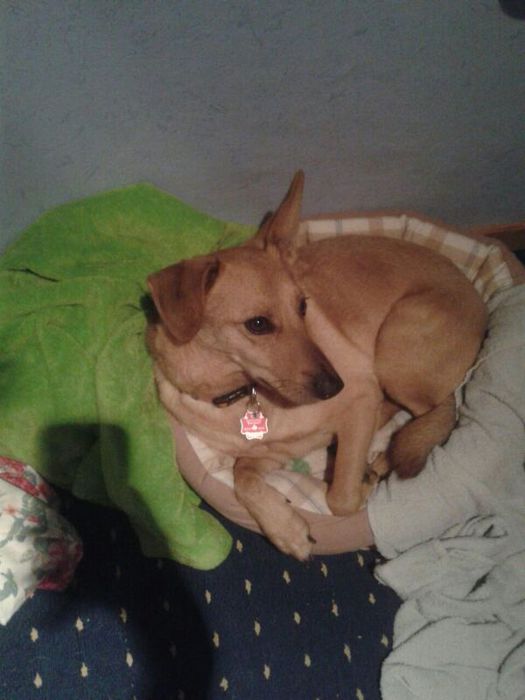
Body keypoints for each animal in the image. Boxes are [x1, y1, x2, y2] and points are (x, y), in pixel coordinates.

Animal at [146, 172, 487, 560]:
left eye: (303, 306)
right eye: (258, 324)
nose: (334, 387)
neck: (242, 392)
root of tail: (478, 301)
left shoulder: (360, 397)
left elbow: (340, 499)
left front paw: (360, 483)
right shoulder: (273, 452)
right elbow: (242, 475)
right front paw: (285, 529)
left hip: (395, 354)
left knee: (439, 411)